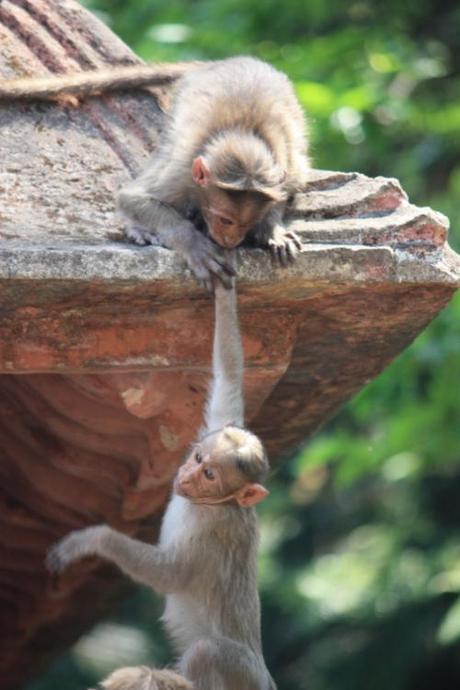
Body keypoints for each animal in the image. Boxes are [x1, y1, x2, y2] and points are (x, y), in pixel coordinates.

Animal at [1, 55, 310, 288]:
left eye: (247, 222)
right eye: (226, 220)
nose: (231, 240)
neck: (243, 132)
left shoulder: (284, 169)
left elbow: (286, 190)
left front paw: (271, 230)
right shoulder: (183, 174)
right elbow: (133, 198)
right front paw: (192, 243)